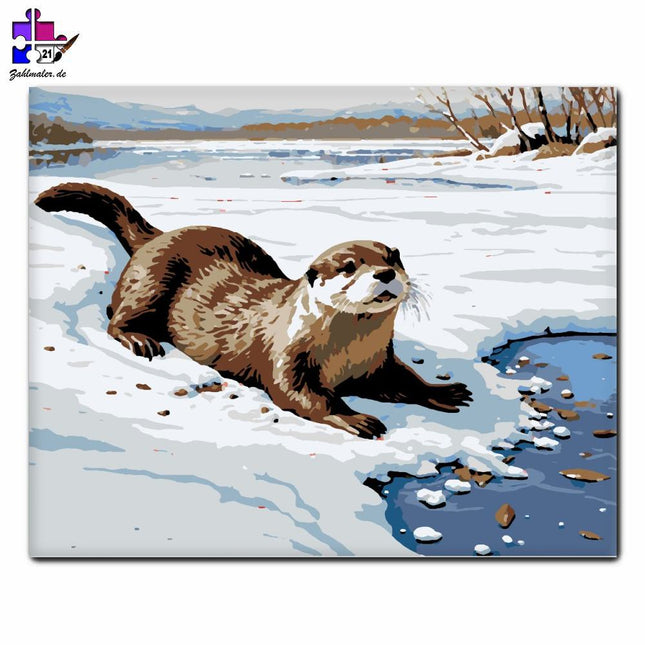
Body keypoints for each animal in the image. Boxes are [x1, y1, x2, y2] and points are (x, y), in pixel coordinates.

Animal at [35, 182, 472, 438]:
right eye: (349, 267)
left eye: (394, 257)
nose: (385, 273)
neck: (345, 355)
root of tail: (159, 236)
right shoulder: (286, 358)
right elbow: (304, 397)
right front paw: (355, 417)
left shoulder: (378, 362)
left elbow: (405, 380)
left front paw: (444, 390)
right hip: (150, 279)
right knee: (117, 315)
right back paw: (139, 340)